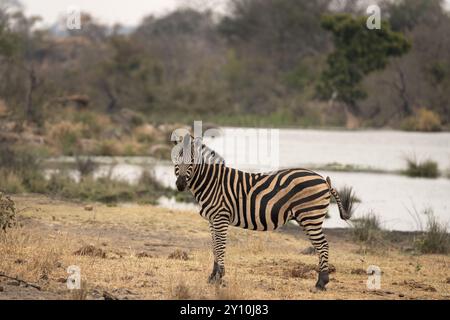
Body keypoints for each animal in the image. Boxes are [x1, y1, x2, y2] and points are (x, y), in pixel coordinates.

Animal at [174, 134, 354, 292]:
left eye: (192, 161)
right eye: (176, 160)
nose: (180, 185)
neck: (211, 182)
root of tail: (323, 180)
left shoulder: (221, 217)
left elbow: (220, 247)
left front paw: (219, 277)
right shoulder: (212, 220)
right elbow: (214, 248)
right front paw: (212, 277)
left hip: (311, 217)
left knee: (323, 245)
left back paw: (321, 283)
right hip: (308, 218)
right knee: (320, 245)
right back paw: (321, 282)